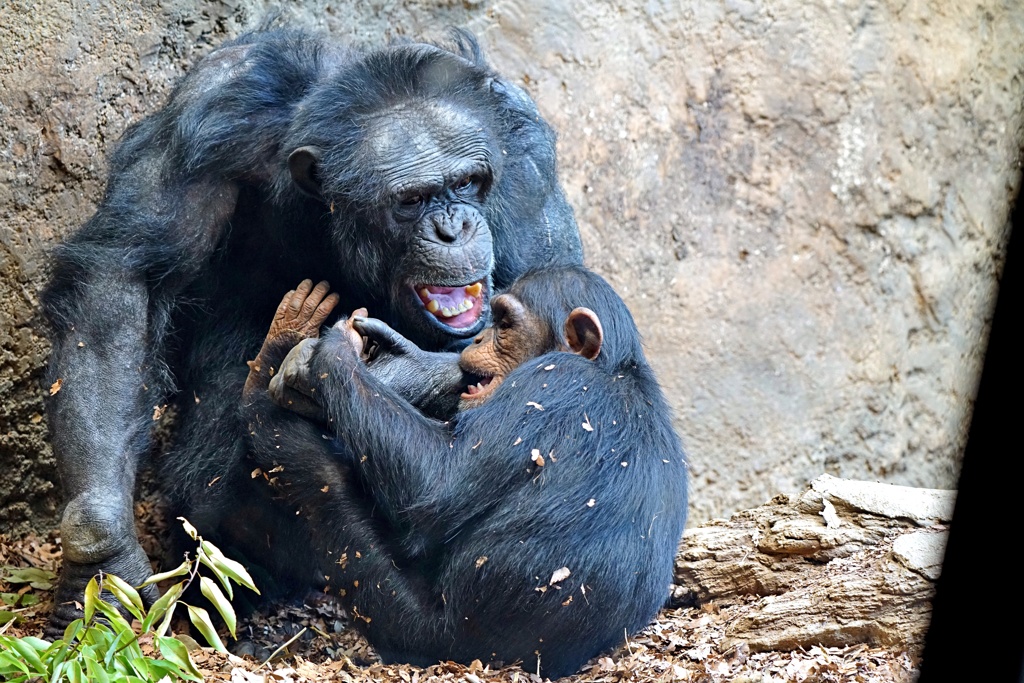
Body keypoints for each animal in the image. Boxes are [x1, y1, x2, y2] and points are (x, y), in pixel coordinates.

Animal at [39, 28, 581, 634]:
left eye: (467, 182)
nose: (454, 227)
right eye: (412, 200)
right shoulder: (211, 114)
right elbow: (126, 278)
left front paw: (400, 373)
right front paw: (103, 560)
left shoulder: (525, 159)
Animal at [239, 266, 688, 679]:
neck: (613, 369)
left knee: (307, 462)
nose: (477, 338)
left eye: (503, 324)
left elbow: (439, 478)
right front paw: (404, 360)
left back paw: (264, 379)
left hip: (418, 631)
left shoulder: (553, 384)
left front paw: (335, 348)